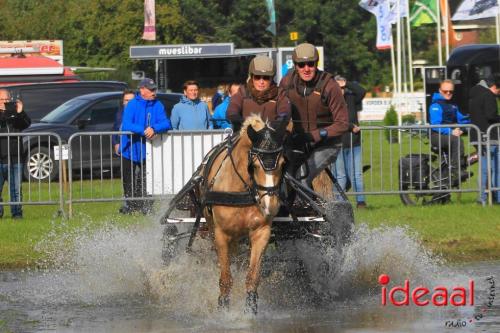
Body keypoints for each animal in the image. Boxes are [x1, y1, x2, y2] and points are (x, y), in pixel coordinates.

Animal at [201, 113, 292, 312]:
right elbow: (225, 277)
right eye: (255, 165)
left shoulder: (261, 232)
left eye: (283, 163)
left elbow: (252, 275)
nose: (271, 205)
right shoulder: (221, 234)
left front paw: (250, 306)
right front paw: (223, 306)